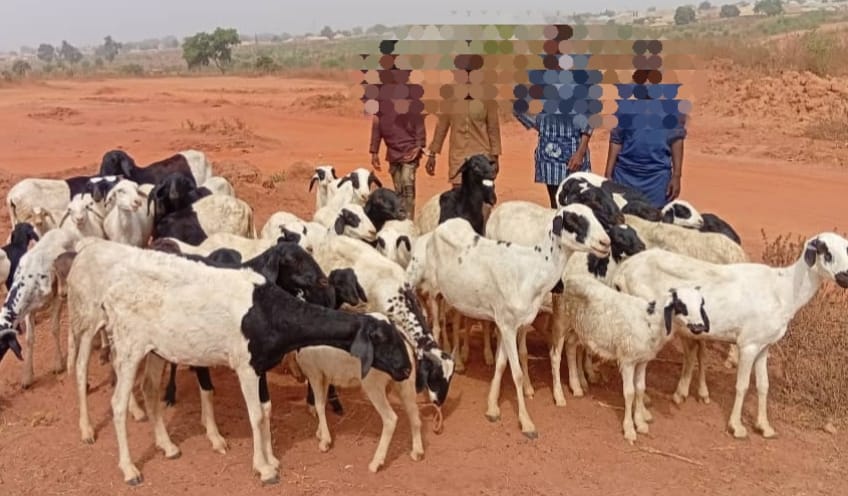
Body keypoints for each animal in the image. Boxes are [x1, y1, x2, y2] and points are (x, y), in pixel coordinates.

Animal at [0, 228, 81, 387]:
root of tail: (64, 230)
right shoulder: (27, 311)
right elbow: (29, 339)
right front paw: (27, 376)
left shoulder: (57, 298)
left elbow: (54, 329)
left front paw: (58, 364)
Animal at [291, 312, 423, 472]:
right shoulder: (326, 374)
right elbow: (322, 401)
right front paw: (320, 432)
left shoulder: (314, 372)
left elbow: (319, 405)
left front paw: (325, 441)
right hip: (405, 382)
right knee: (414, 414)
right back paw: (417, 451)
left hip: (373, 384)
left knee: (390, 418)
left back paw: (376, 462)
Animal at [406, 205, 611, 437]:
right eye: (574, 220)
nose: (605, 243)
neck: (531, 270)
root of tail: (432, 232)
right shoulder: (508, 325)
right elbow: (518, 374)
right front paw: (527, 423)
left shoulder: (507, 324)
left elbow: (501, 364)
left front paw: (492, 408)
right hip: (425, 289)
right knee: (434, 328)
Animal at [562, 275, 708, 442]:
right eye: (681, 305)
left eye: (700, 305)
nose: (699, 326)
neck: (652, 321)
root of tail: (571, 277)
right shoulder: (627, 360)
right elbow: (629, 393)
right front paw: (629, 429)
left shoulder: (642, 360)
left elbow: (640, 388)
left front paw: (640, 423)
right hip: (569, 321)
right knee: (569, 346)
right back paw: (575, 385)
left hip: (581, 330)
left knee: (572, 346)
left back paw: (578, 383)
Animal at [611, 234, 848, 439]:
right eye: (825, 251)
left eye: (846, 249)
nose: (845, 277)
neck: (784, 289)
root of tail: (624, 269)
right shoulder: (748, 344)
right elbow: (742, 386)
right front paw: (737, 427)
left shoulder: (764, 346)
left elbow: (763, 386)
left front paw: (764, 427)